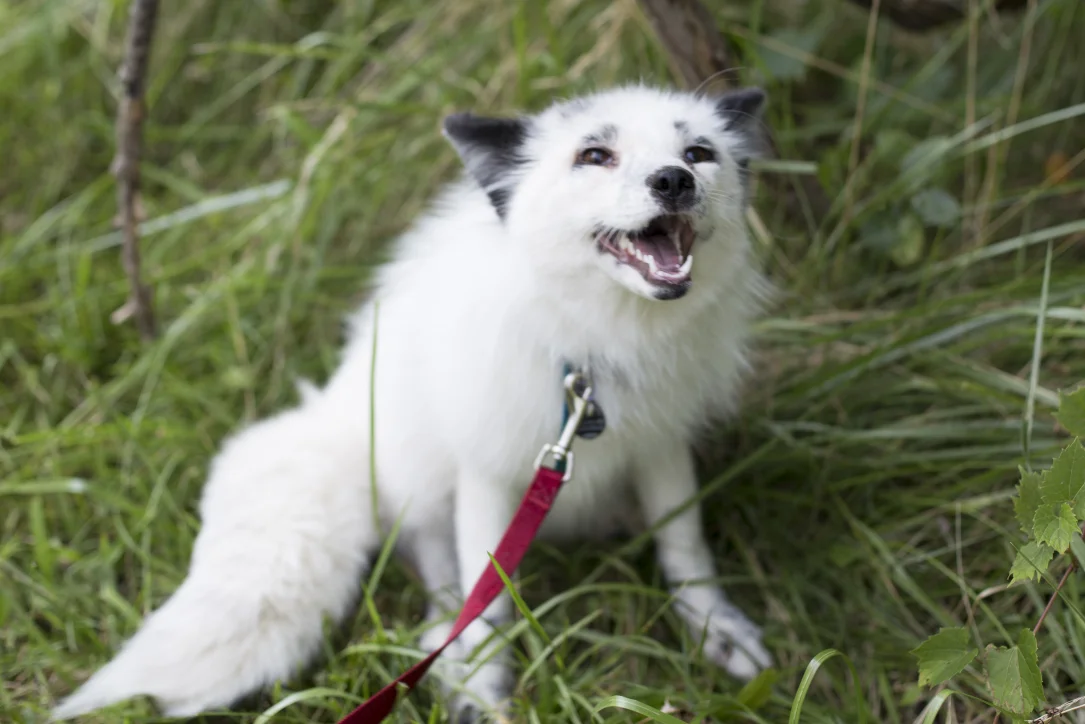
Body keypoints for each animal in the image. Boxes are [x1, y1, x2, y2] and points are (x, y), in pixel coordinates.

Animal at [52, 84, 774, 723]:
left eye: (699, 152)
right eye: (594, 155)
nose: (674, 181)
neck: (596, 350)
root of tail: (337, 416)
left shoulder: (661, 444)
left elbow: (685, 546)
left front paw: (717, 629)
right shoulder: (488, 471)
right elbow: (488, 597)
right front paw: (482, 685)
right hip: (419, 479)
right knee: (438, 571)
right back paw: (444, 650)